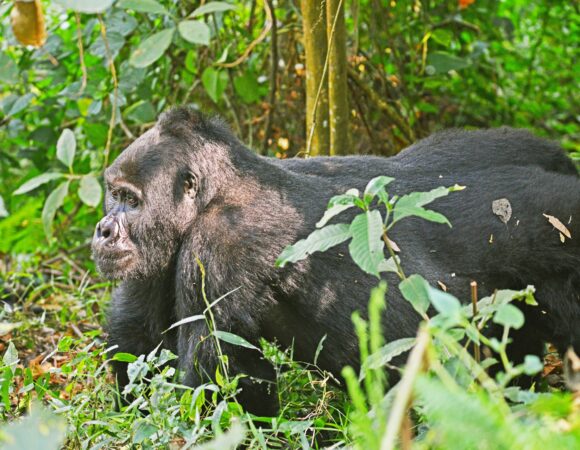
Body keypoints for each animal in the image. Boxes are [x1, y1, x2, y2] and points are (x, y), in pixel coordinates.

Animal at [93, 108, 576, 414]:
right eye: (113, 193)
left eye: (130, 200)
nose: (103, 229)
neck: (219, 189)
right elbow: (137, 333)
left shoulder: (220, 245)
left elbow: (222, 372)